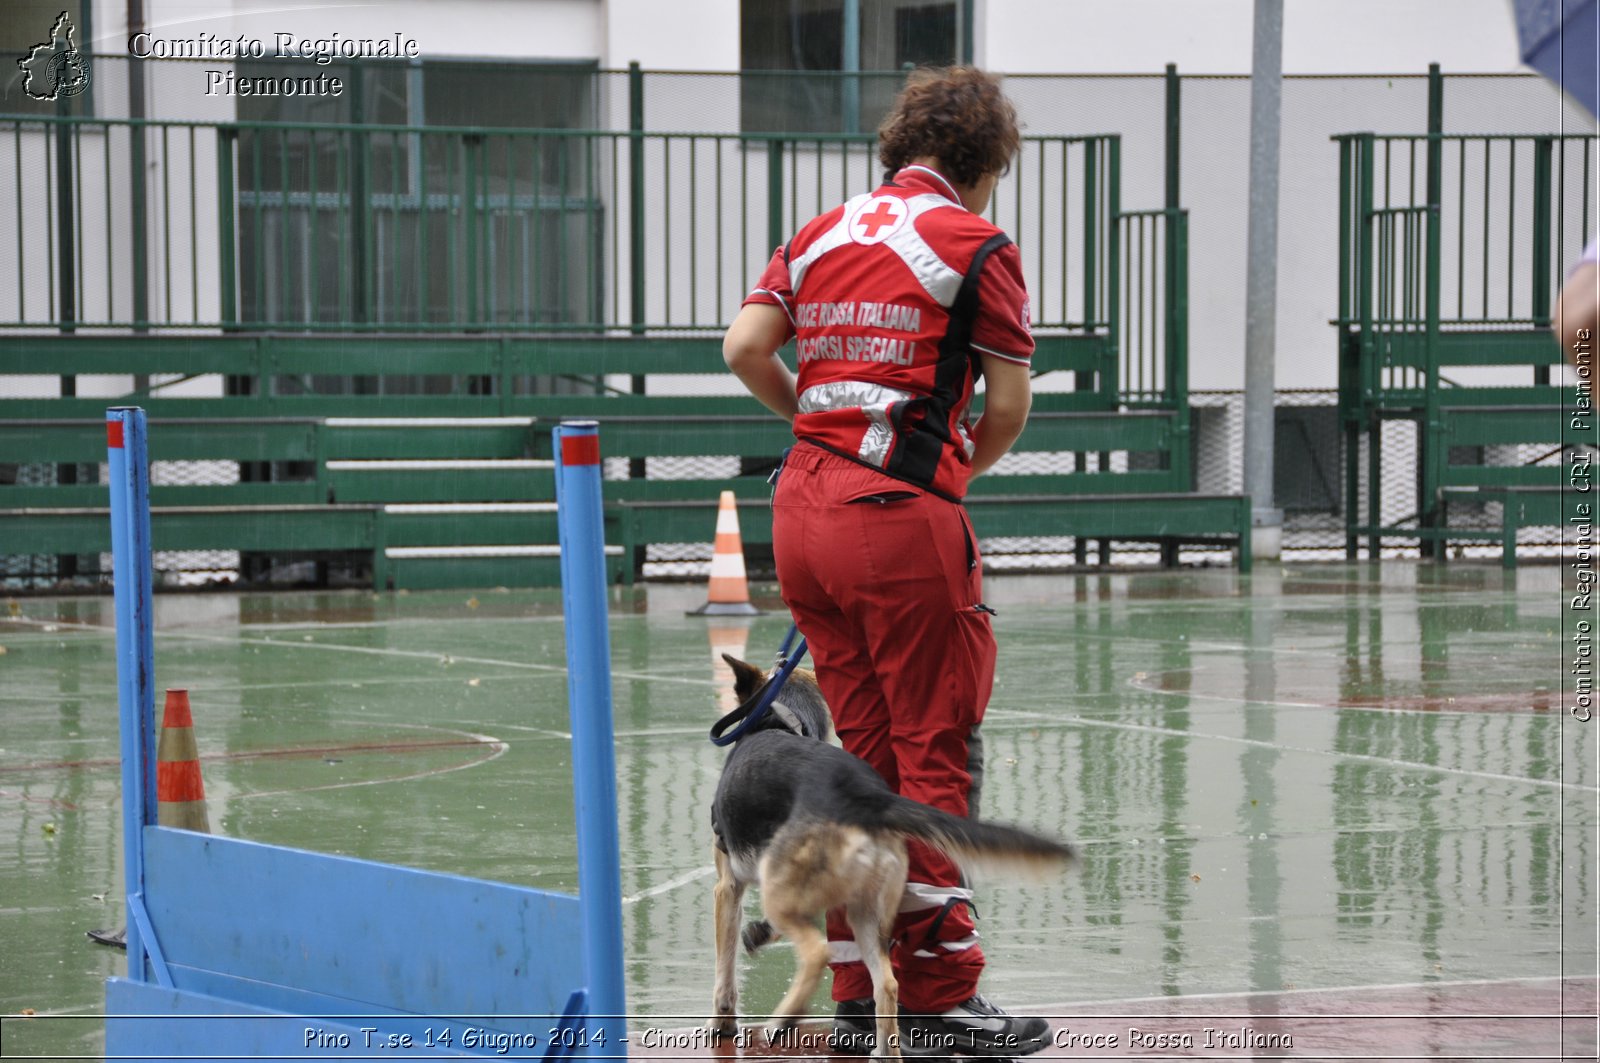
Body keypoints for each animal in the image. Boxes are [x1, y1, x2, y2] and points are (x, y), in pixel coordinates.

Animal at [710, 656, 1075, 1056]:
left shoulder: (727, 889)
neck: (784, 719)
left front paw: (723, 1024)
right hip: (864, 914)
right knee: (886, 985)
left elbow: (725, 970)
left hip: (794, 898)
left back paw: (785, 1019)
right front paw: (760, 933)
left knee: (818, 953)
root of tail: (868, 796)